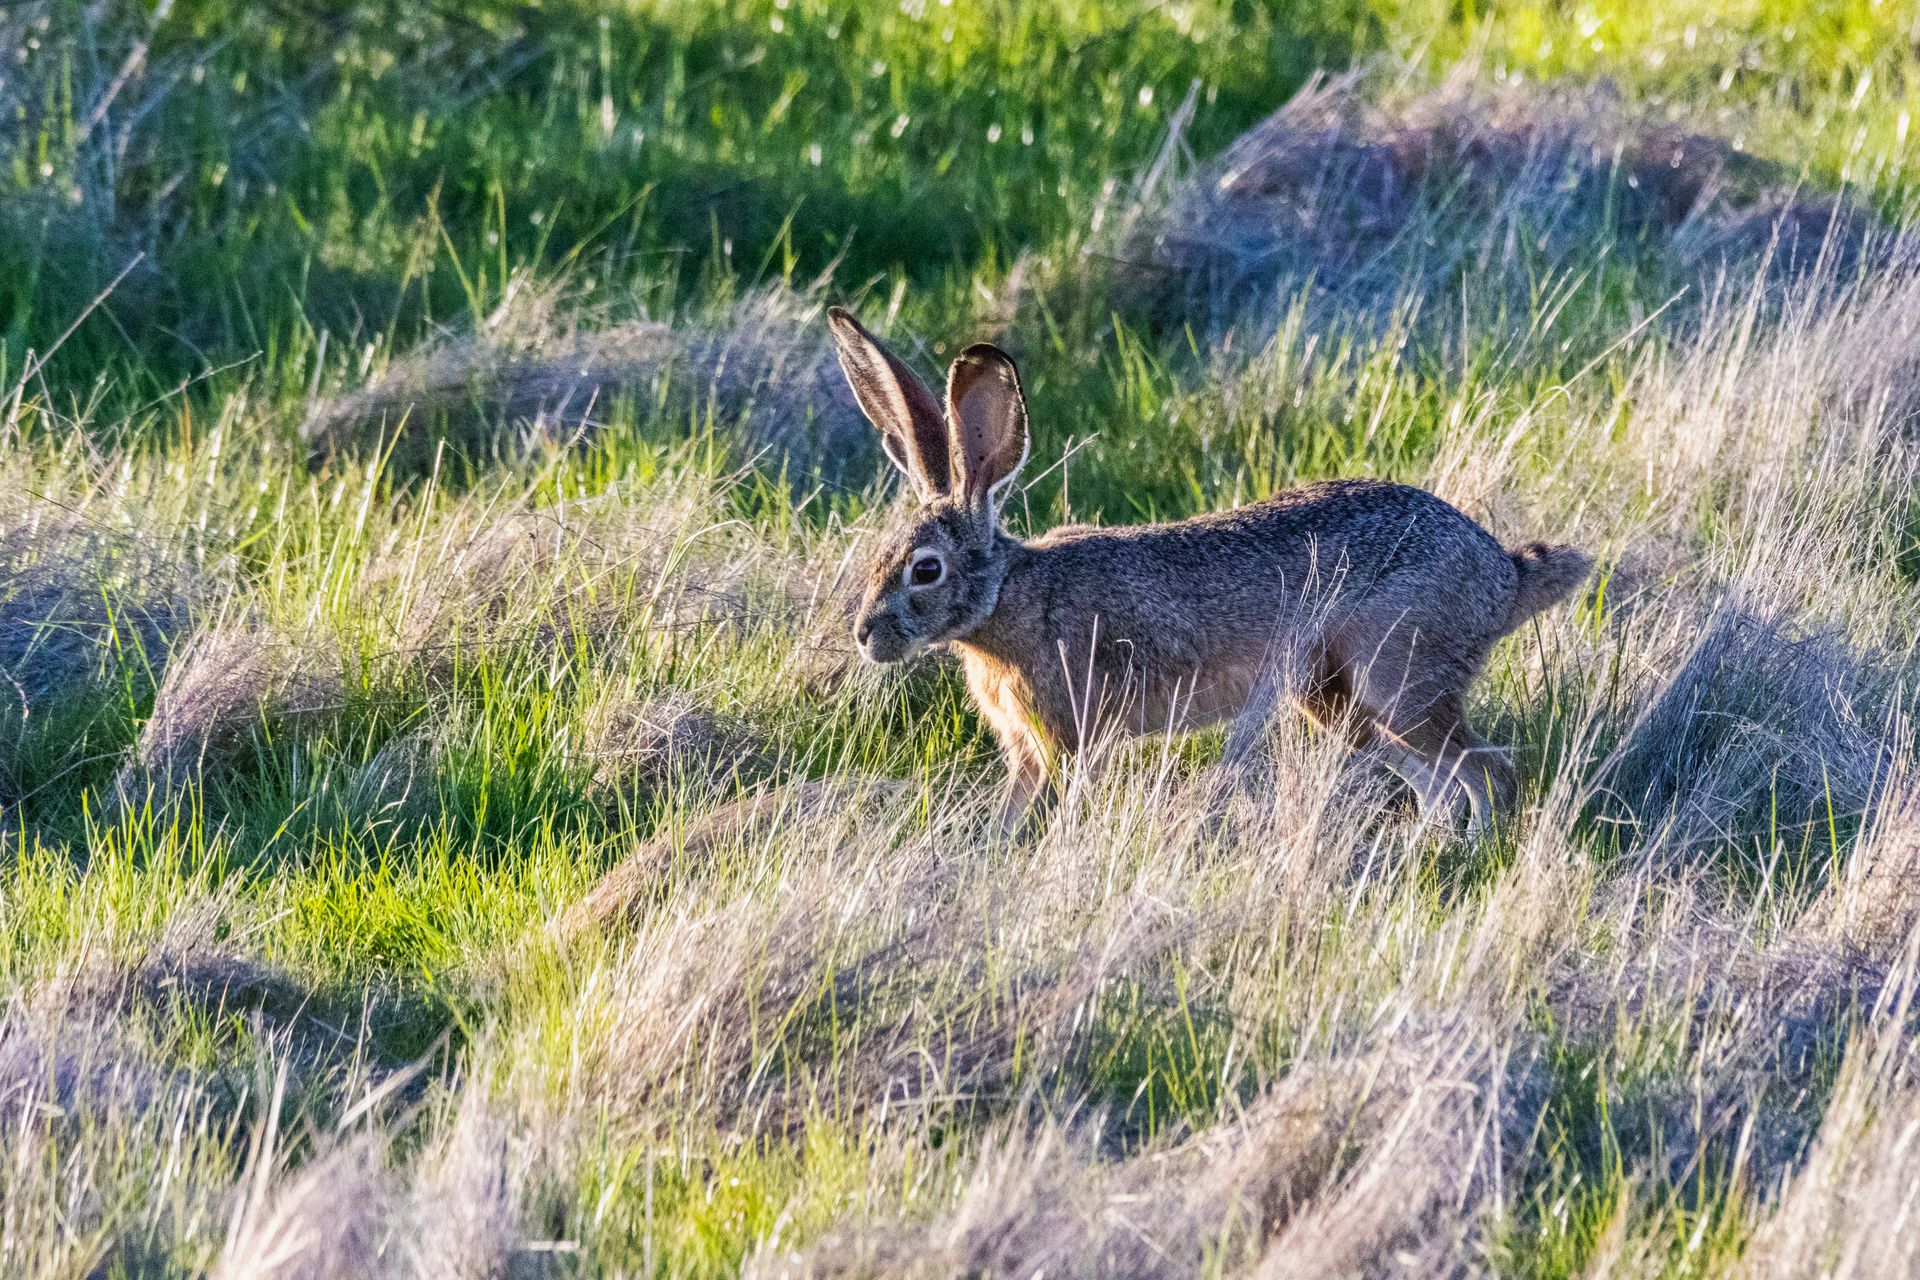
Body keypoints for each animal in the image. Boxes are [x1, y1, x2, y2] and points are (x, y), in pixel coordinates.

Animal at [827, 306, 1592, 834]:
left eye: (926, 570)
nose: (866, 635)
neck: (1006, 598)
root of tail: (1501, 577)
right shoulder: (1027, 749)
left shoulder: (1067, 738)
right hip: (1335, 700)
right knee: (1437, 780)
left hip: (1398, 675)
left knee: (1488, 773)